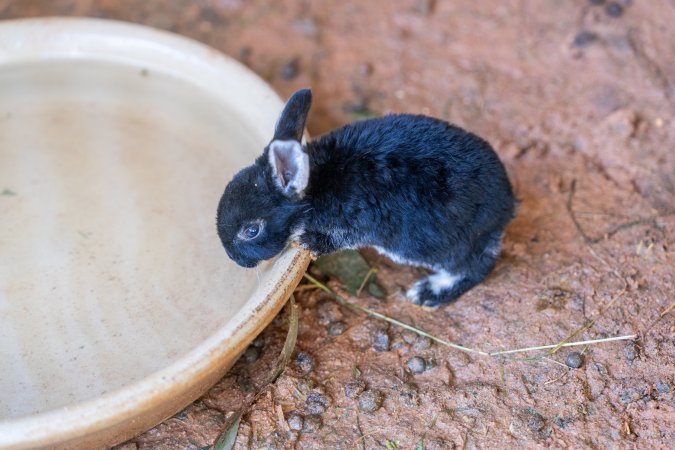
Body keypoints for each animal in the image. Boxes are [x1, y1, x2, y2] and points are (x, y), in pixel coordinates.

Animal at [216, 88, 516, 307]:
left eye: (251, 230)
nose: (232, 257)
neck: (315, 186)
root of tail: (506, 204)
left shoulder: (361, 223)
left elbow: (339, 238)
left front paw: (307, 242)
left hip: (446, 244)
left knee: (476, 267)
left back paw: (429, 292)